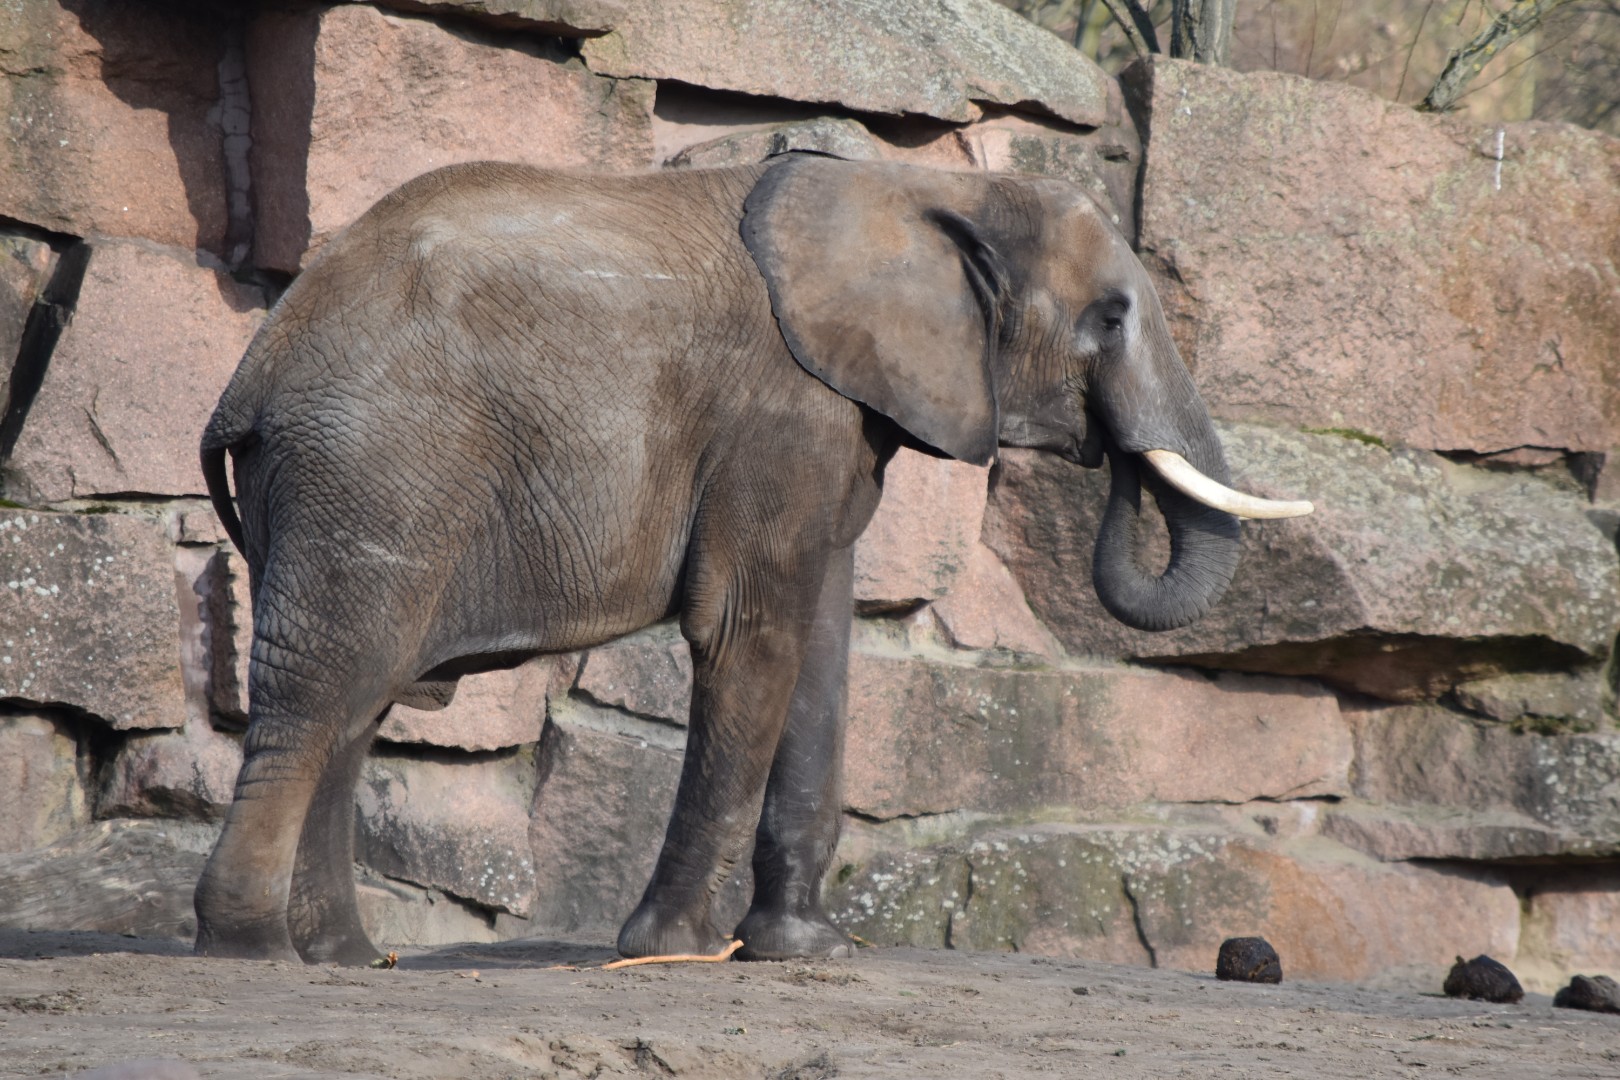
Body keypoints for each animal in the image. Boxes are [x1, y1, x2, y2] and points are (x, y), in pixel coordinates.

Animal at [195, 153, 1310, 966]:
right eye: (1111, 316)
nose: (1106, 457)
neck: (924, 184)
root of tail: (252, 366)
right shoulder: (781, 408)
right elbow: (749, 631)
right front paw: (674, 951)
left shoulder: (838, 411)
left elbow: (818, 638)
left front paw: (805, 950)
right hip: (375, 461)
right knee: (321, 690)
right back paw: (252, 950)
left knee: (357, 696)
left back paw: (344, 957)